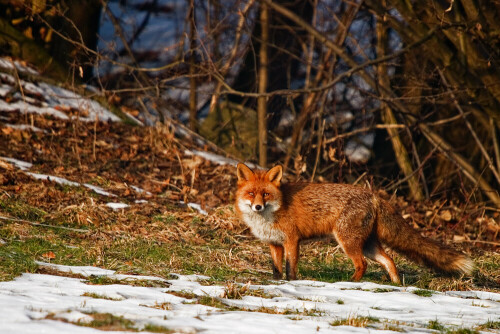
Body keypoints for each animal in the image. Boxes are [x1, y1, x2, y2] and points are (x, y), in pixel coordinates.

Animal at [234, 163, 472, 284]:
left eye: (266, 194)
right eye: (251, 194)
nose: (257, 207)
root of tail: (373, 195)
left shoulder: (292, 240)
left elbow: (290, 268)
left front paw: (292, 283)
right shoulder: (274, 243)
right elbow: (276, 269)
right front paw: (277, 283)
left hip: (348, 242)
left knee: (362, 265)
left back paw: (349, 283)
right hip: (367, 245)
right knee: (389, 260)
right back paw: (395, 285)